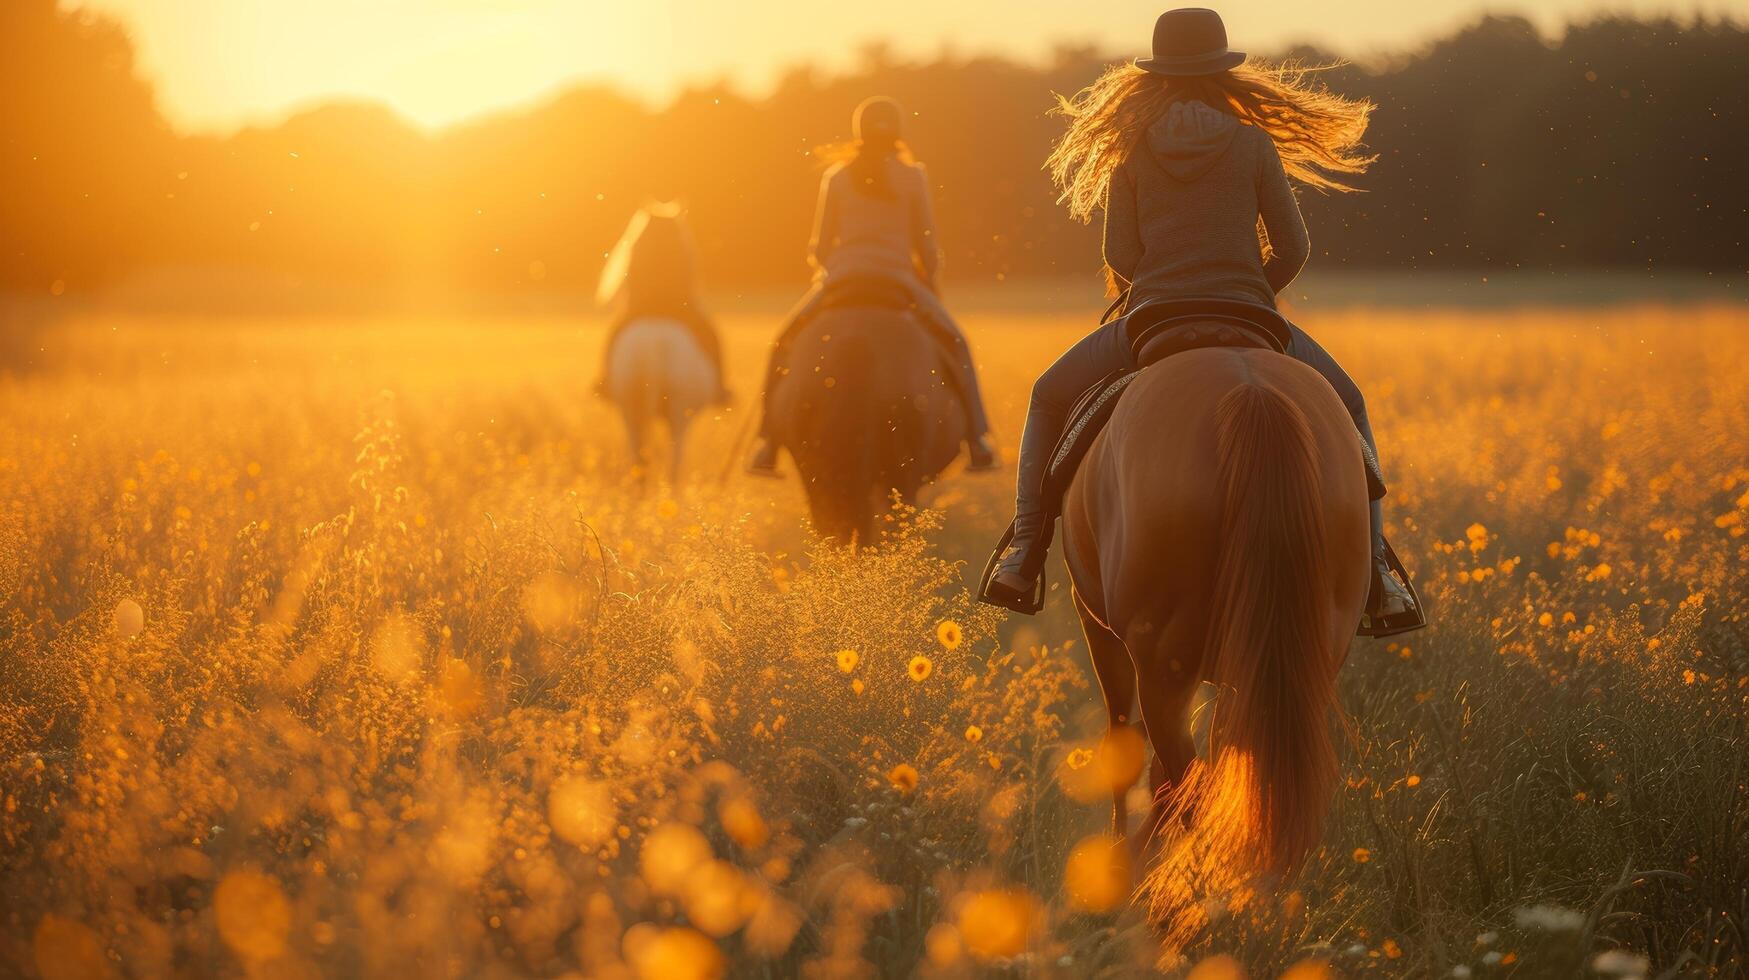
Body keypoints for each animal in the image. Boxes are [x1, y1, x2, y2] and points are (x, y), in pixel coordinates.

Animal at [1056, 343, 1371, 931]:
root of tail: (1250, 394)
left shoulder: (1098, 628)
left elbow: (1123, 748)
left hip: (1163, 669)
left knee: (1187, 784)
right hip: (1287, 663)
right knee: (1242, 784)